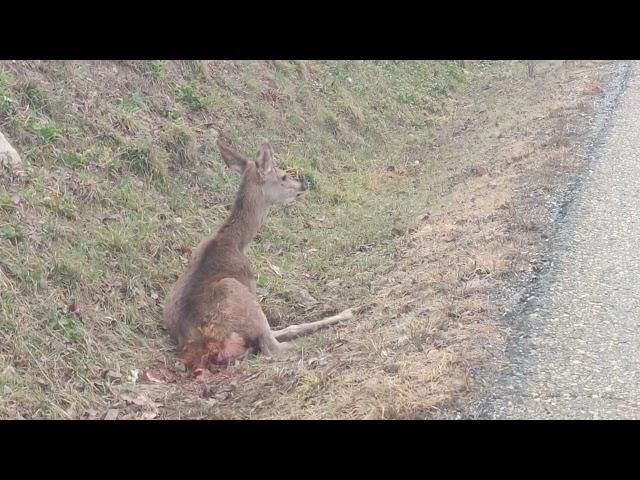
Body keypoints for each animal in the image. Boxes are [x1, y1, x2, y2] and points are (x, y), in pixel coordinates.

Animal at [162, 139, 352, 376]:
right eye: (283, 176)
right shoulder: (251, 285)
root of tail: (204, 346)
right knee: (275, 344)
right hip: (241, 296)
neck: (237, 242)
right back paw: (339, 319)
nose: (302, 185)